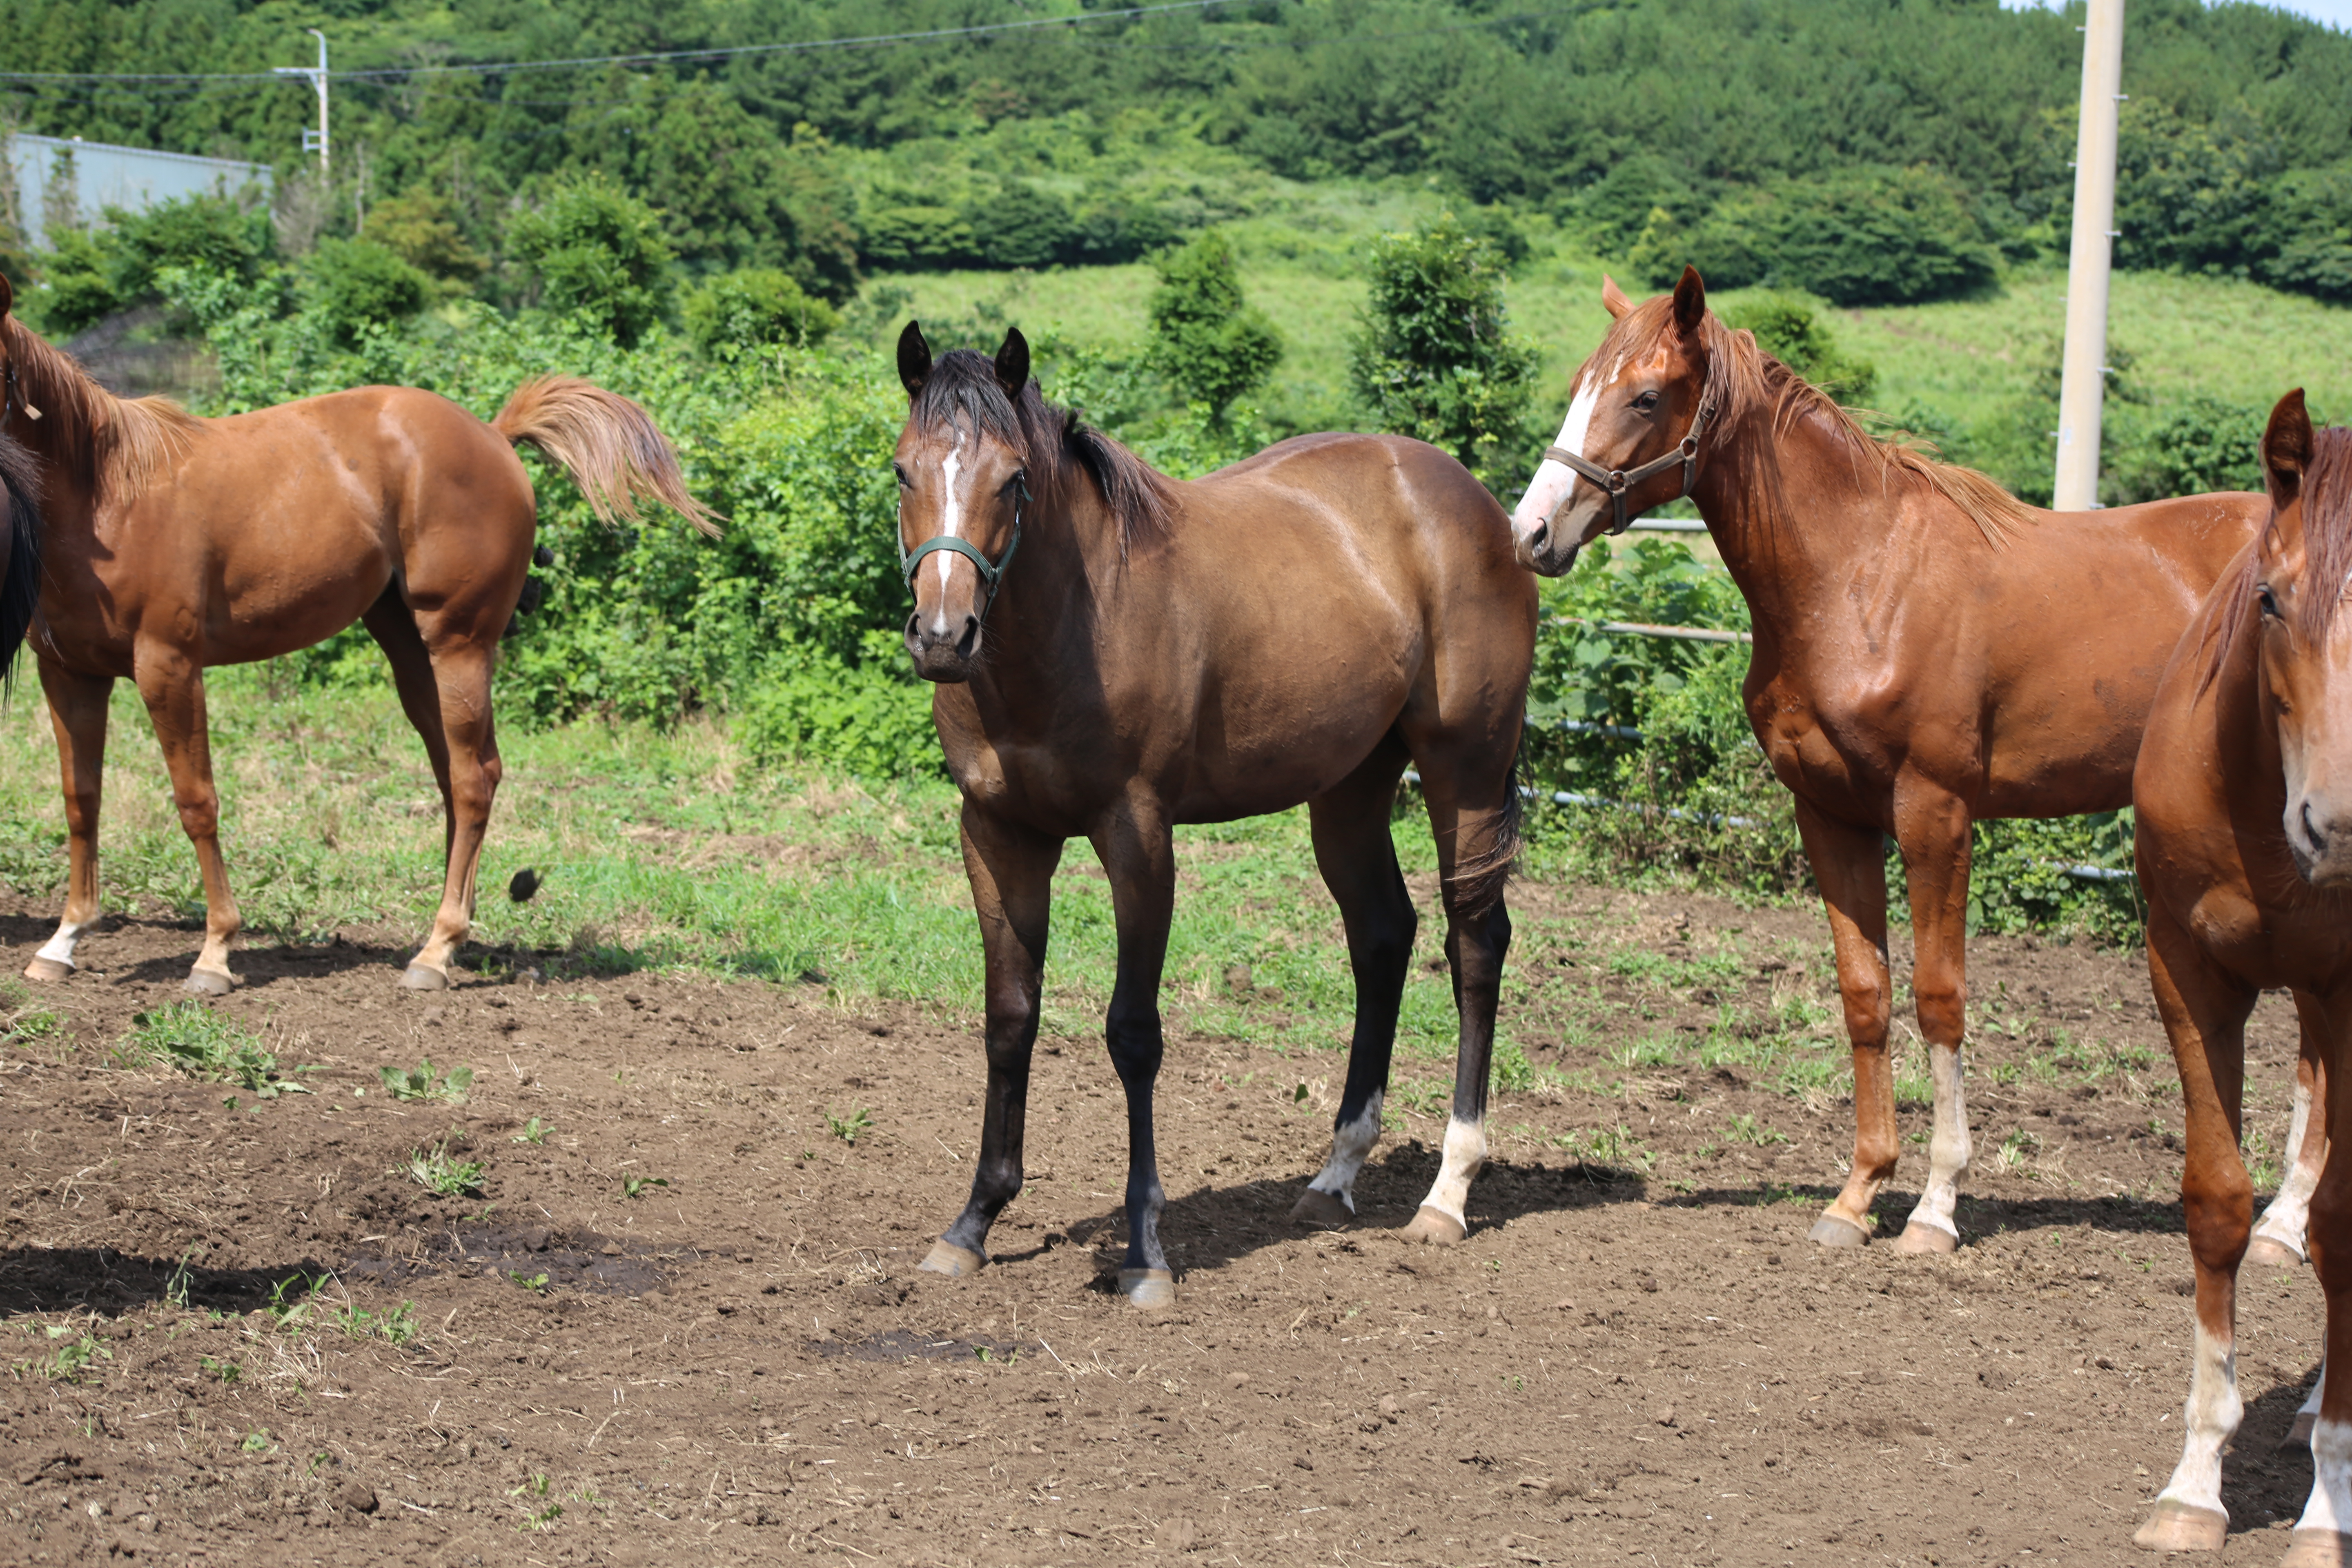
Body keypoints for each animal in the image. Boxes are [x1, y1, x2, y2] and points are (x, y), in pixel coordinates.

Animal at [0, 272, 715, 992]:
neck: (110, 495)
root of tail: (493, 434)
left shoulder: (168, 667)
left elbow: (196, 802)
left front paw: (216, 952)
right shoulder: (69, 674)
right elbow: (81, 800)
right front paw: (63, 939)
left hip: (458, 644)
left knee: (473, 779)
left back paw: (436, 950)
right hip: (410, 652)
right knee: (456, 776)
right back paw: (453, 935)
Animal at [889, 324, 1533, 1307]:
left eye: (1014, 480)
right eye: (901, 472)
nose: (942, 637)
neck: (1069, 628)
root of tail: (1475, 503)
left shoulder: (1138, 837)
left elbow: (1133, 1034)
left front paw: (1145, 1253)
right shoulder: (999, 837)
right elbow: (1010, 1017)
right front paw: (974, 1222)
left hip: (1467, 767)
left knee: (1474, 944)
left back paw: (1448, 1193)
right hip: (1348, 790)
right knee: (1384, 935)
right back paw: (1335, 1175)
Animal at [1505, 267, 2276, 1250]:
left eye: (1644, 397)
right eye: (1577, 385)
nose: (1531, 533)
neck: (1861, 577)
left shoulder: (1935, 813)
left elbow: (1938, 998)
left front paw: (1937, 1209)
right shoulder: (1831, 815)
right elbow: (1865, 993)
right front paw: (1858, 1194)